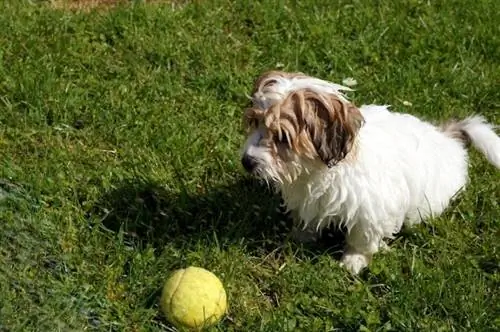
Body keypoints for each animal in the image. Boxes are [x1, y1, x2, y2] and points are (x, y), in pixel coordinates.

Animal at [240, 69, 498, 272]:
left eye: (282, 137)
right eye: (255, 122)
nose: (247, 161)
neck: (317, 169)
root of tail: (447, 138)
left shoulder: (372, 208)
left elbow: (362, 236)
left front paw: (354, 260)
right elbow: (308, 216)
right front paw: (301, 236)